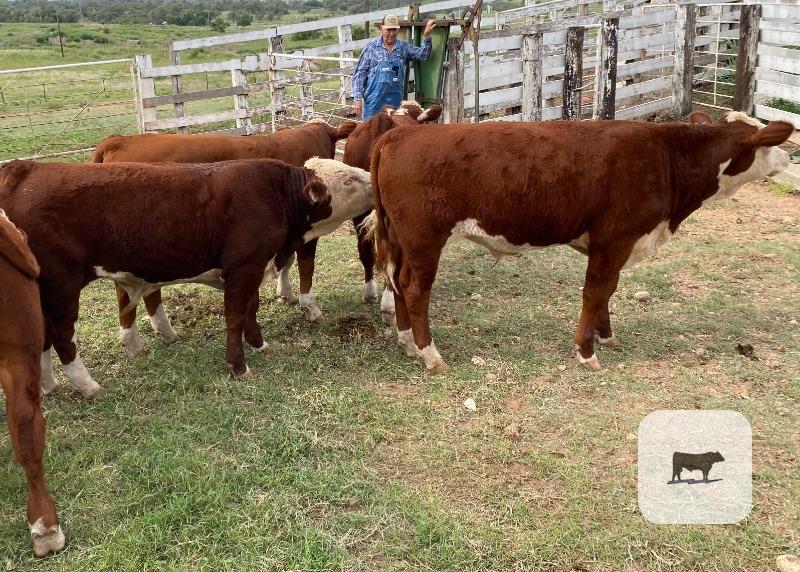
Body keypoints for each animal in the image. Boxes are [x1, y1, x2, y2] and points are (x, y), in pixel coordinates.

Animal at [0, 157, 371, 396]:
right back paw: (88, 386)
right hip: (61, 285)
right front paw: (238, 365)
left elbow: (250, 310)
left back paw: (47, 385)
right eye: (348, 178)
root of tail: (28, 168)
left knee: (44, 337)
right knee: (63, 336)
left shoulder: (252, 267)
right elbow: (235, 315)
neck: (275, 194)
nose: (372, 178)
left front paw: (260, 344)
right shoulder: (243, 267)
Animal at [92, 119, 357, 352]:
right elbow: (306, 267)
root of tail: (120, 140)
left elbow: (287, 261)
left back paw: (163, 332)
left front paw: (286, 294)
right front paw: (310, 307)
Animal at [367, 112, 793, 373]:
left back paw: (407, 342)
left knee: (398, 282)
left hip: (401, 239)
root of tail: (401, 132)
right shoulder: (615, 238)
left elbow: (608, 291)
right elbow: (596, 291)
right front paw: (586, 351)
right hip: (424, 238)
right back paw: (430, 353)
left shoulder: (612, 245)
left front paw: (606, 336)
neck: (665, 156)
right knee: (415, 288)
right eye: (767, 141)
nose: (789, 158)